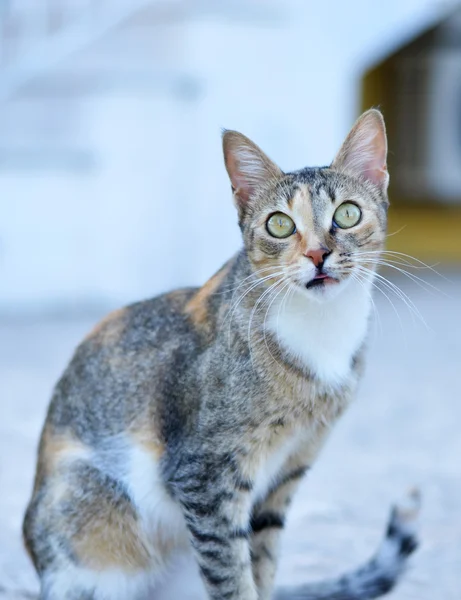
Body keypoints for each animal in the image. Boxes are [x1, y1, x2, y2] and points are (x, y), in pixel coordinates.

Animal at [22, 109, 416, 600]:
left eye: (347, 213)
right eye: (279, 224)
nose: (318, 254)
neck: (321, 330)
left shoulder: (289, 468)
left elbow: (260, 563)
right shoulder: (203, 473)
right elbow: (231, 572)